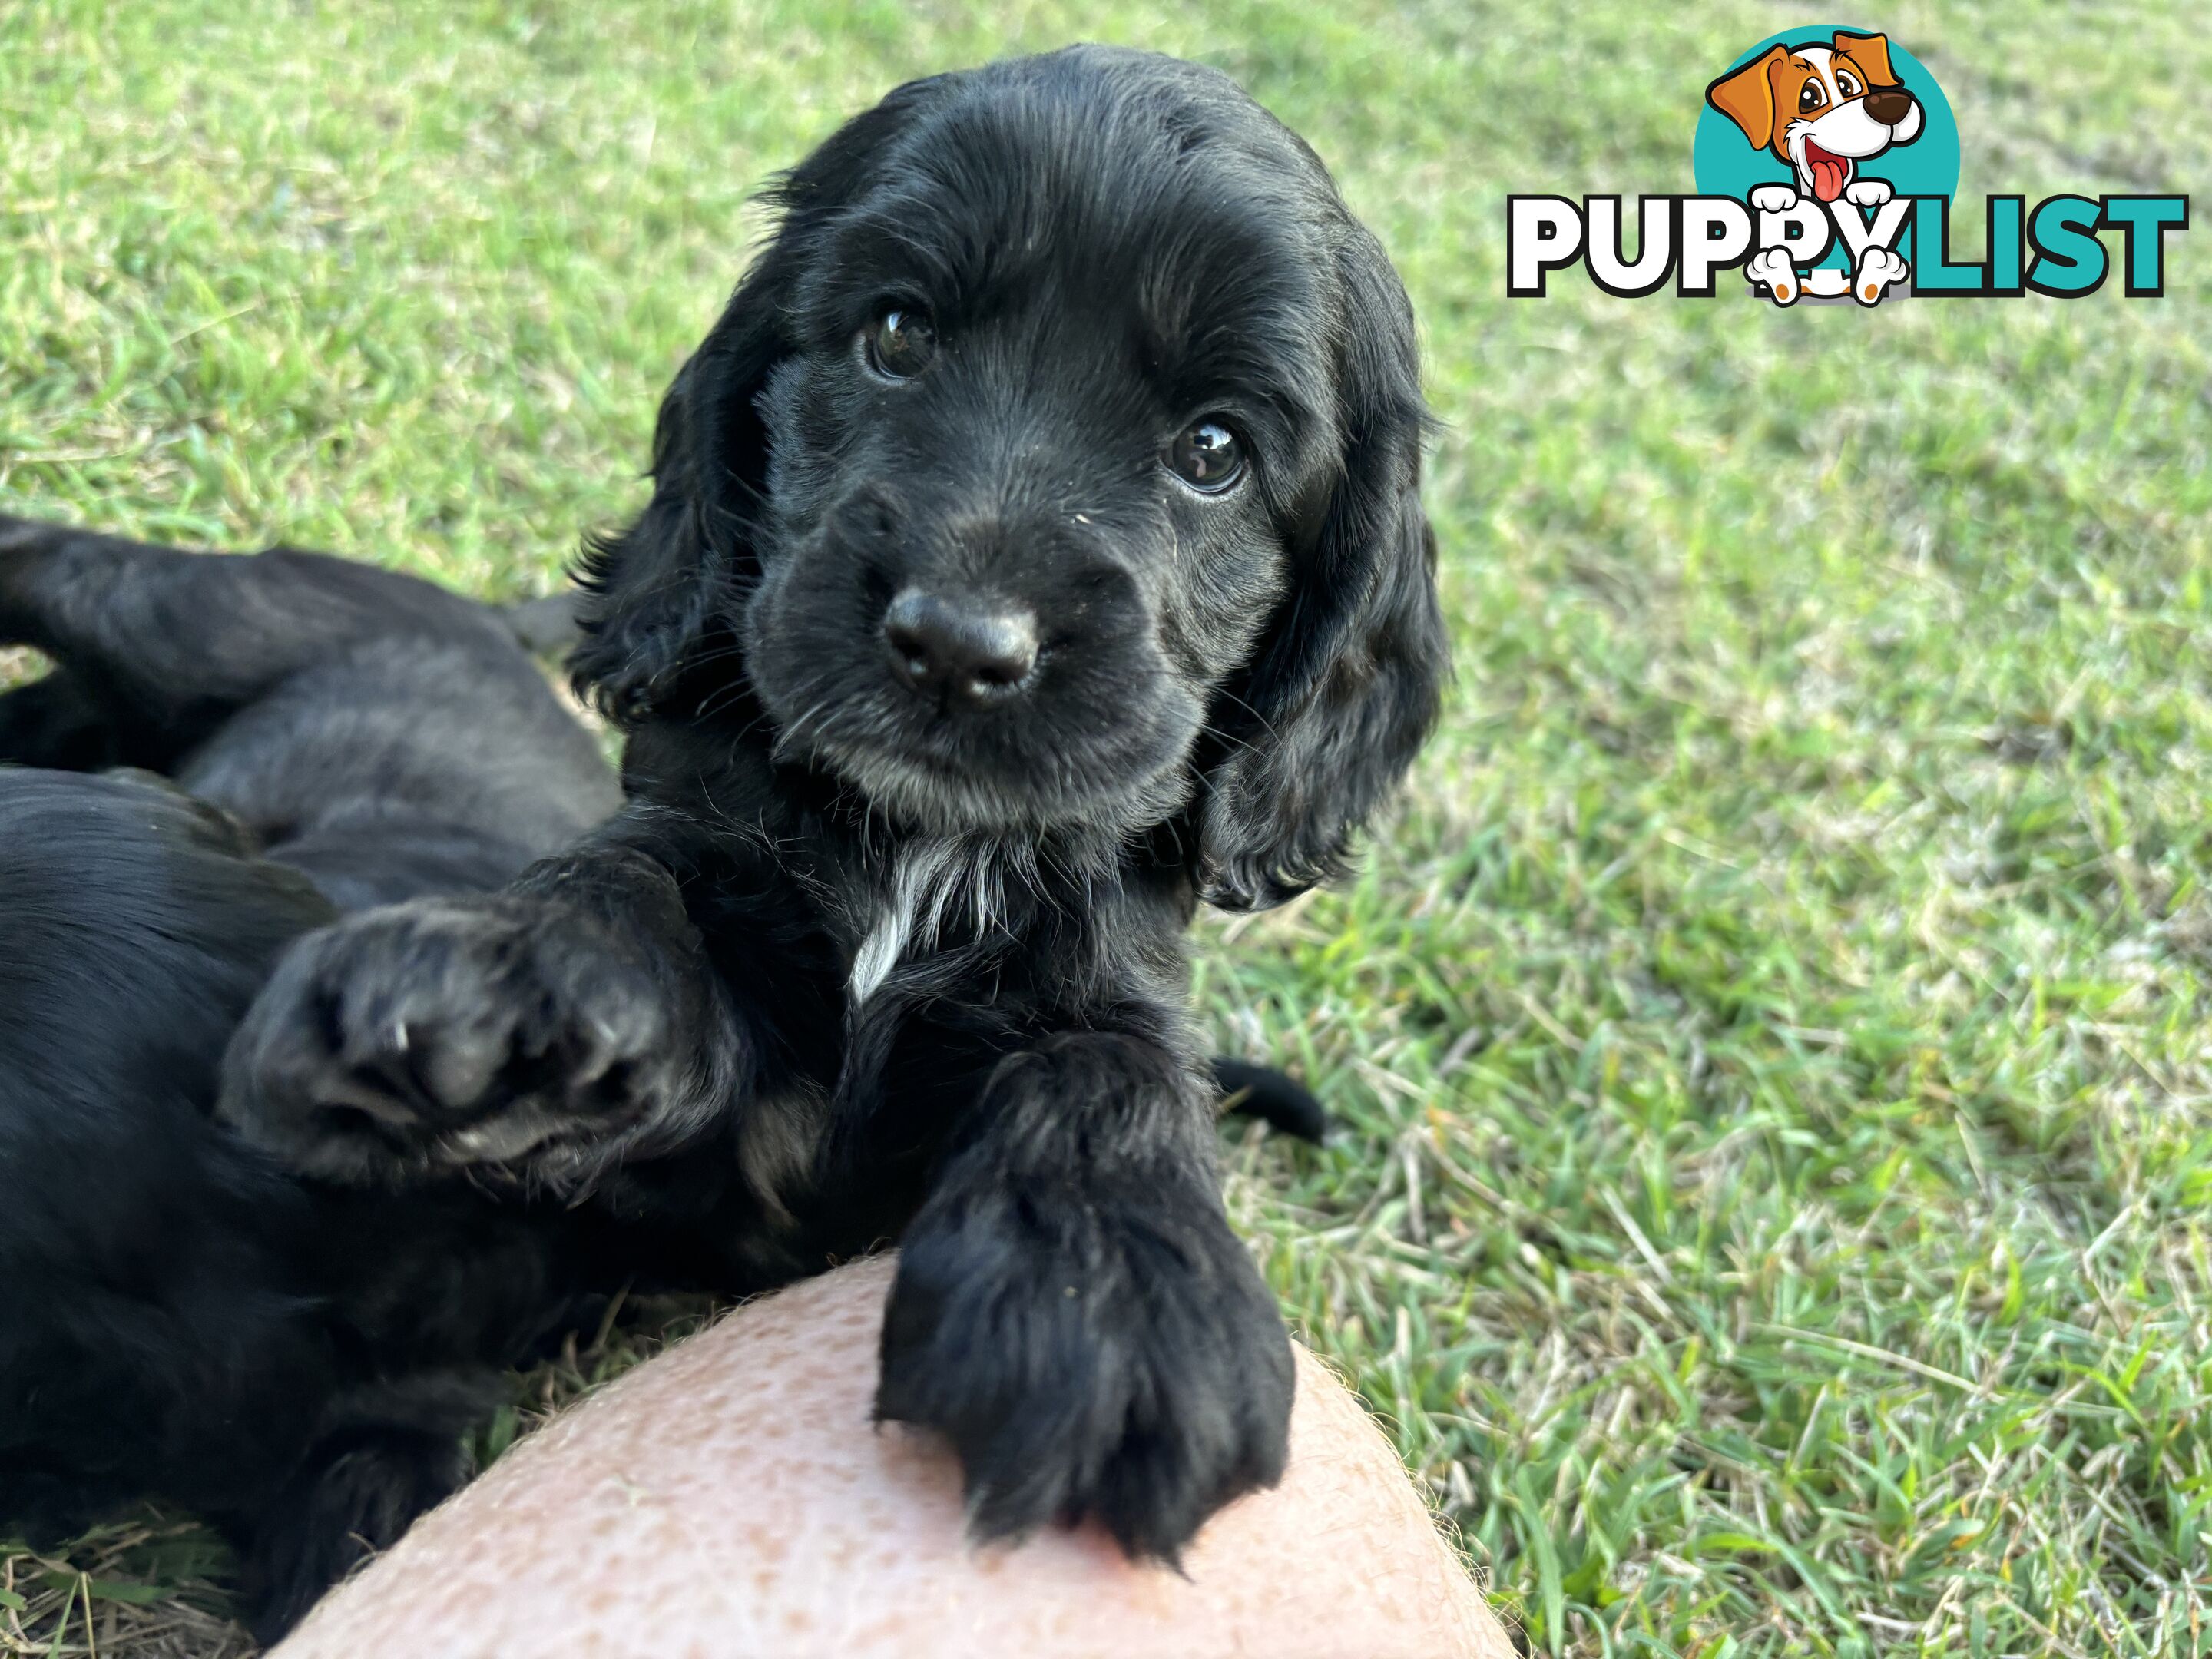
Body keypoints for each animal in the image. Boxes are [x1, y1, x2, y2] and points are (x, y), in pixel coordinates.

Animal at [224, 42, 1442, 1575]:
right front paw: (496, 987)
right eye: (898, 335)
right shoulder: (713, 876)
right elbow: (636, 882)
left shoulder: (1104, 961)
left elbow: (1108, 1058)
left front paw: (1114, 1291)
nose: (962, 646)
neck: (920, 847)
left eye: (1214, 450)